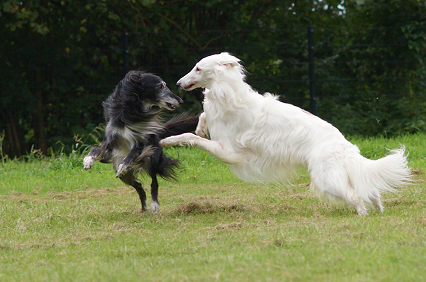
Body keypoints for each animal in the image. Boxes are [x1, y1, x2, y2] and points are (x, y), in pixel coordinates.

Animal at [84, 70, 199, 214]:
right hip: (125, 174)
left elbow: (132, 153)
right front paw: (87, 161)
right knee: (138, 185)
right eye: (160, 86)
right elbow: (95, 148)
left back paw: (154, 205)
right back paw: (144, 207)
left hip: (153, 160)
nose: (180, 100)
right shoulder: (111, 140)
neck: (132, 111)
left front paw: (123, 165)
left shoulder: (143, 143)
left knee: (154, 182)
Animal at [161, 53, 412, 216]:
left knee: (356, 196)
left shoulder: (230, 153)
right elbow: (202, 118)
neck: (229, 95)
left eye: (198, 68)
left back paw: (362, 215)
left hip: (326, 179)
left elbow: (190, 137)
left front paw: (166, 140)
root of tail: (344, 145)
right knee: (371, 192)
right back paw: (378, 210)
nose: (178, 83)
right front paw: (200, 127)